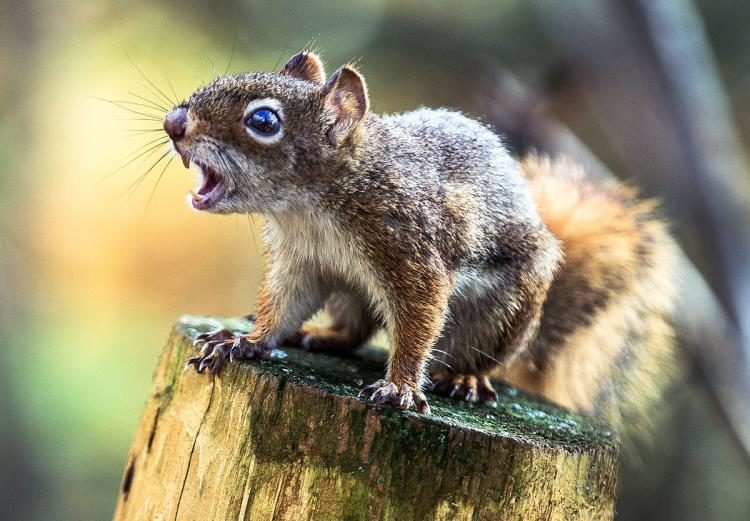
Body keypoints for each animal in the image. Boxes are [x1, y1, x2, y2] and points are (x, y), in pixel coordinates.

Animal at [162, 50, 677, 437]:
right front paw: (243, 342)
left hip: (501, 314)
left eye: (265, 120)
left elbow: (418, 320)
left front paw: (401, 387)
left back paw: (467, 377)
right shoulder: (301, 262)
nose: (173, 122)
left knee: (477, 354)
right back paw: (319, 335)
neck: (310, 208)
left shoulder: (410, 249)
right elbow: (283, 305)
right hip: (351, 292)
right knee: (355, 330)